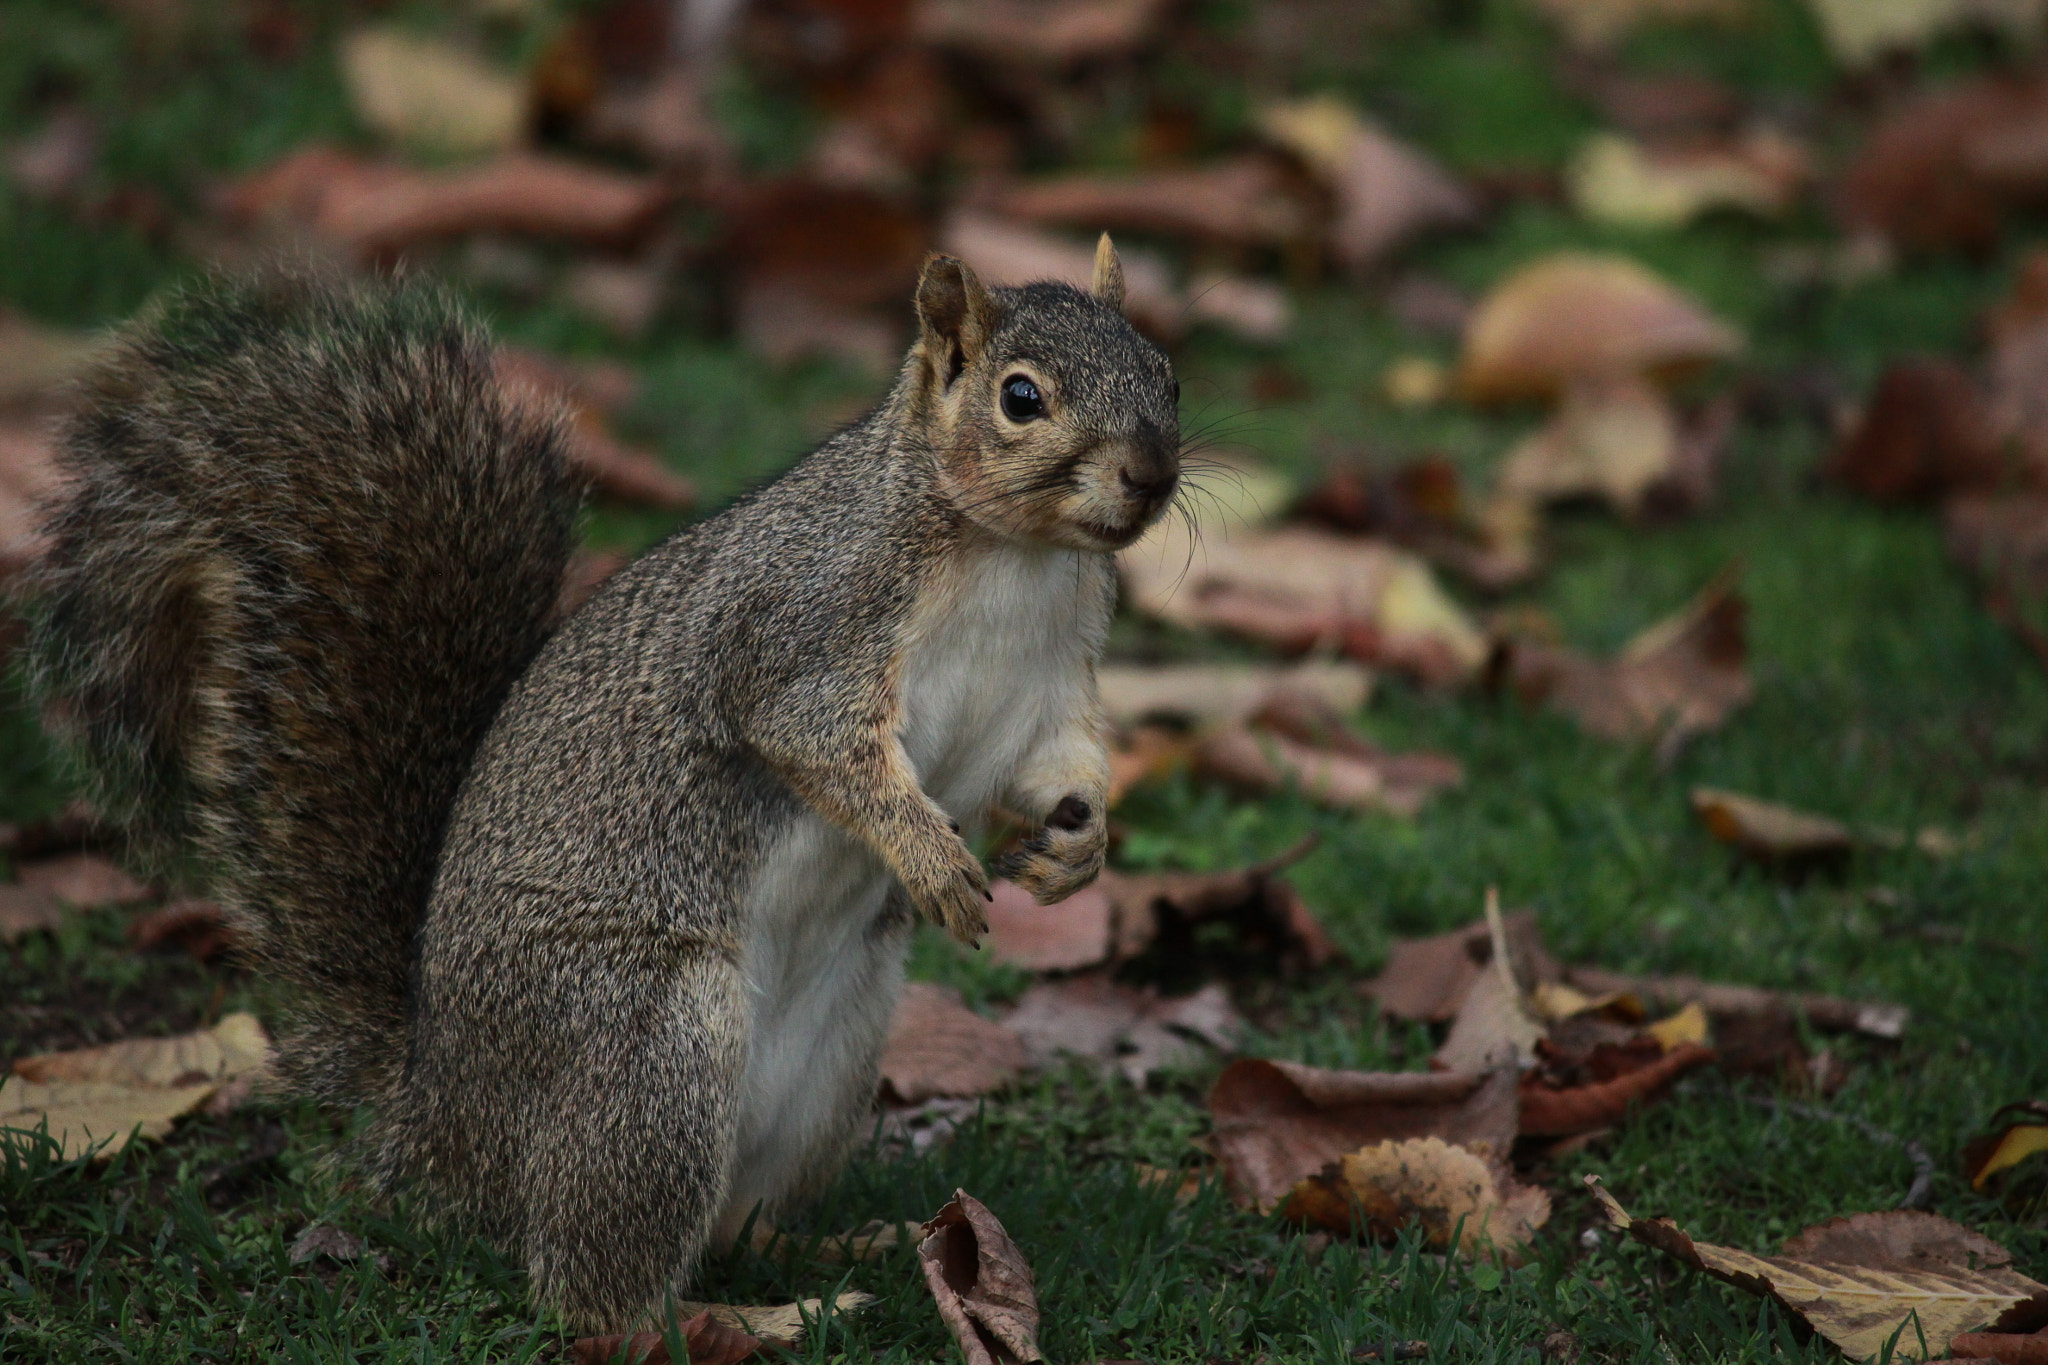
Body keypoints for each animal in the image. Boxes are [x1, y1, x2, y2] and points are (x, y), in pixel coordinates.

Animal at [26, 238, 1180, 1331]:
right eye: (1020, 397)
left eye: (1165, 370)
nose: (1151, 476)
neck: (1010, 553)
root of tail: (443, 1125)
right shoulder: (801, 625)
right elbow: (817, 741)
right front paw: (930, 854)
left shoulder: (1046, 688)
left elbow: (1052, 768)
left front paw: (1079, 846)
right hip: (645, 1043)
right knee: (598, 1295)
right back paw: (769, 1316)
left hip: (836, 1054)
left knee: (735, 1224)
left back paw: (856, 1247)